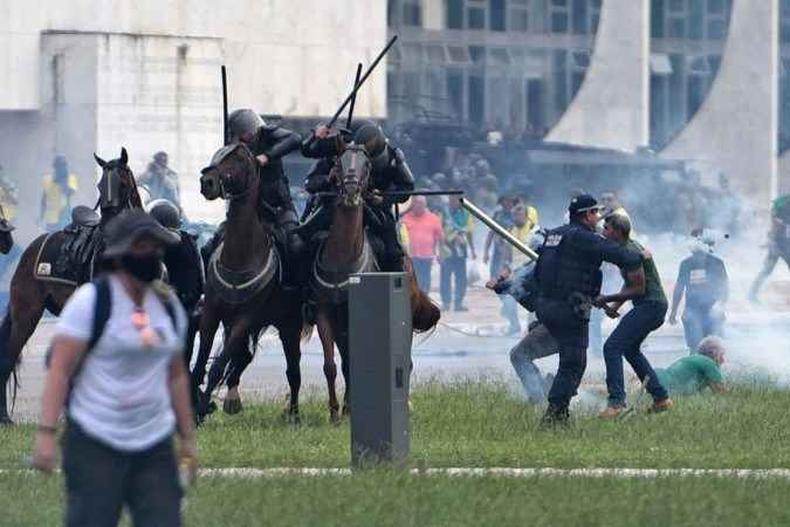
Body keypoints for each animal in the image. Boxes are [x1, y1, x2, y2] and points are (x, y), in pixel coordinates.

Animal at [192, 142, 306, 422]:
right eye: (220, 153)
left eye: (240, 159)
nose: (207, 182)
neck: (240, 255)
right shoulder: (212, 313)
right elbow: (200, 363)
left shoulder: (245, 318)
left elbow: (217, 366)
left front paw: (200, 409)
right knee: (242, 358)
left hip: (289, 324)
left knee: (293, 370)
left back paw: (294, 414)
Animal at [312, 144, 442, 424]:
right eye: (337, 163)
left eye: (367, 165)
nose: (351, 192)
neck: (342, 261)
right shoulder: (325, 313)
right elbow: (331, 365)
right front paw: (335, 413)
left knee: (406, 361)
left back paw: (404, 404)